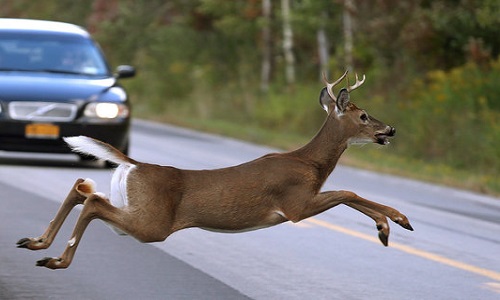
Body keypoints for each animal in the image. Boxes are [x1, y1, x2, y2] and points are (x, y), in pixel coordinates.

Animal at [16, 71, 414, 270]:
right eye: (363, 116)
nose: (391, 130)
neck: (310, 163)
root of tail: (136, 164)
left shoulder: (302, 202)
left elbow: (349, 193)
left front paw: (389, 226)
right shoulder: (295, 204)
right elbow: (348, 191)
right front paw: (394, 222)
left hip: (135, 208)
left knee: (83, 188)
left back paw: (37, 243)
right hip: (153, 223)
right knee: (93, 202)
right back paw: (56, 259)